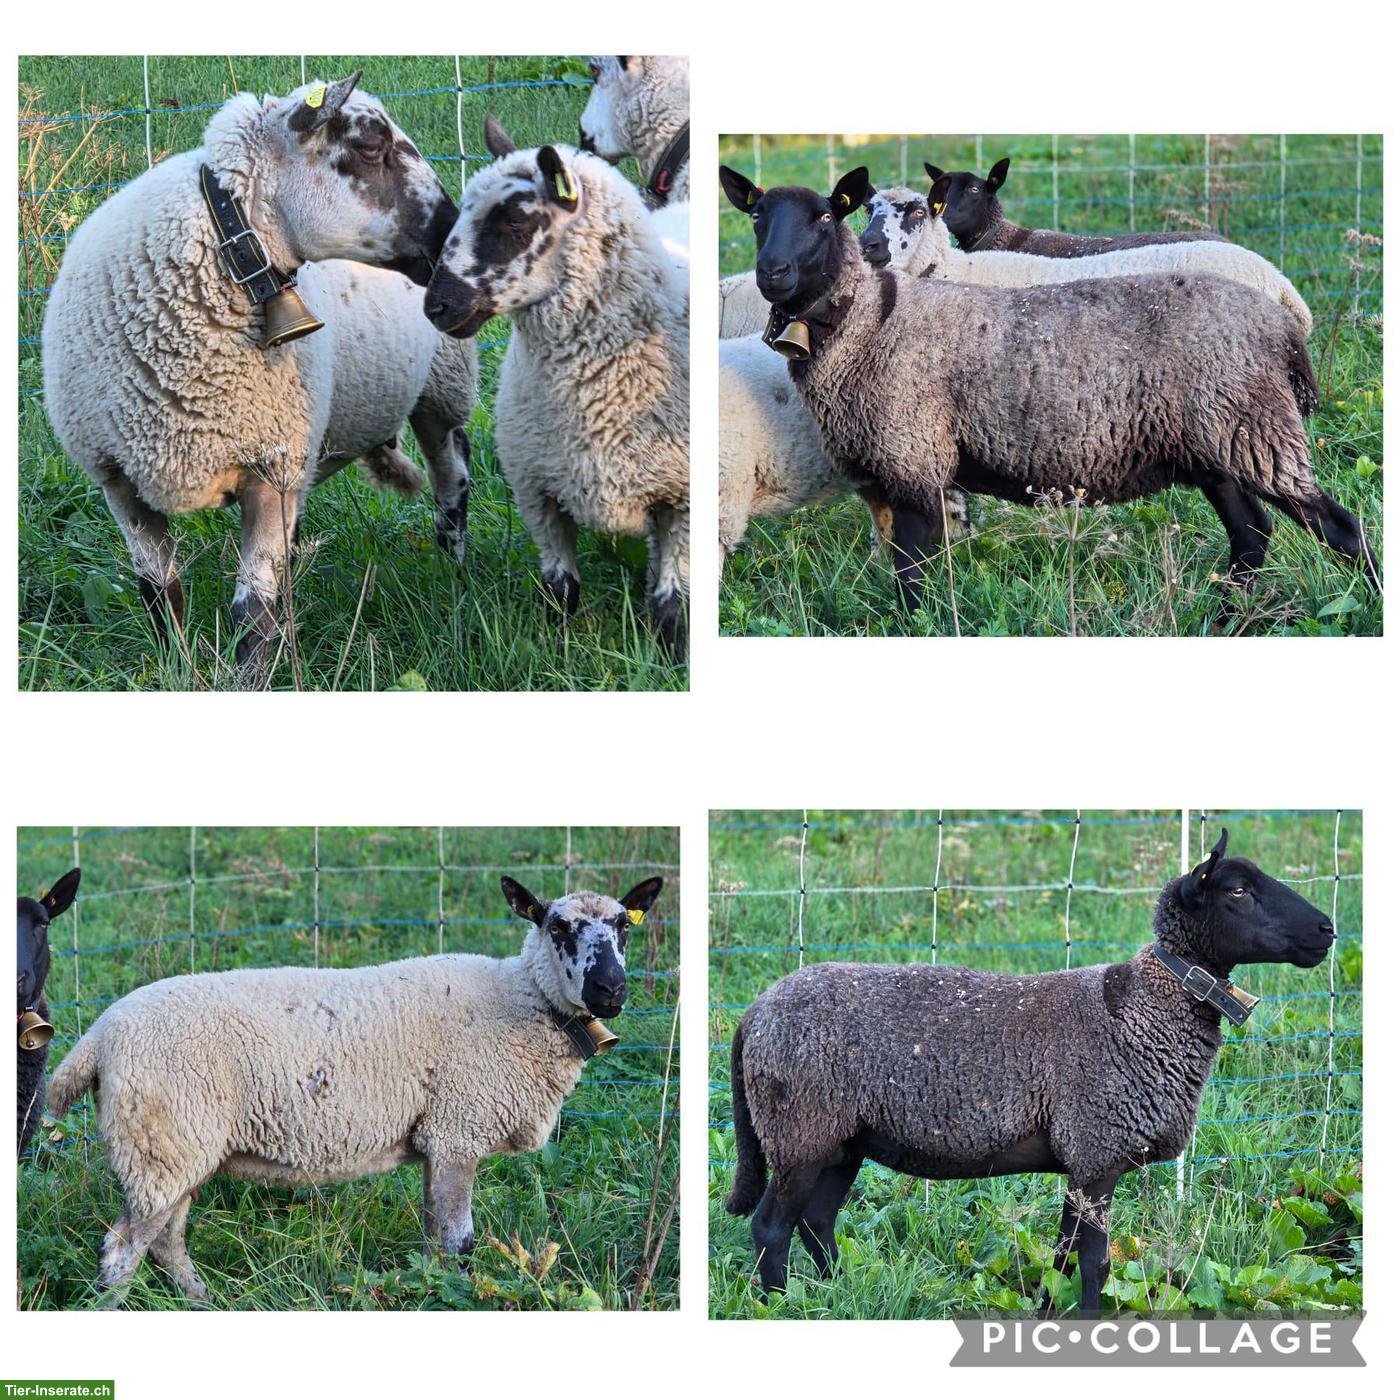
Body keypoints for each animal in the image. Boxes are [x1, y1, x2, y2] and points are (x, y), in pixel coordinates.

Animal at [41, 74, 475, 673]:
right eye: (370, 146)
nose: (454, 235)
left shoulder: (271, 470)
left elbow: (253, 615)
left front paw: (248, 676)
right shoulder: (120, 481)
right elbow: (161, 596)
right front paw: (178, 671)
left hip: (441, 387)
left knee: (452, 474)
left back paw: (455, 571)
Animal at [45, 874, 664, 1304]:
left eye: (625, 927)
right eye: (557, 927)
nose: (611, 990)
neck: (523, 1002)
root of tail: (98, 1037)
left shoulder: (436, 1140)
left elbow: (434, 1240)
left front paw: (432, 1291)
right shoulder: (457, 1132)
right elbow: (459, 1244)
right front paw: (457, 1299)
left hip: (176, 1148)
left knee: (166, 1242)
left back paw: (203, 1304)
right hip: (161, 1143)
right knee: (123, 1250)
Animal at [425, 120, 690, 659]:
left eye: (514, 222)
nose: (435, 306)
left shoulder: (684, 498)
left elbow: (671, 604)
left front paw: (672, 659)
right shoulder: (537, 491)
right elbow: (560, 590)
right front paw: (559, 654)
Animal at [726, 830, 1336, 1314]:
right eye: (1236, 890)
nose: (1327, 930)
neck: (1142, 1010)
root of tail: (755, 1013)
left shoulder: (1084, 1160)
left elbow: (1062, 1258)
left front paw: (1046, 1314)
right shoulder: (1097, 1151)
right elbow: (1094, 1265)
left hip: (841, 1138)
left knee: (817, 1222)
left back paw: (838, 1295)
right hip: (800, 1129)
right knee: (772, 1227)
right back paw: (778, 1306)